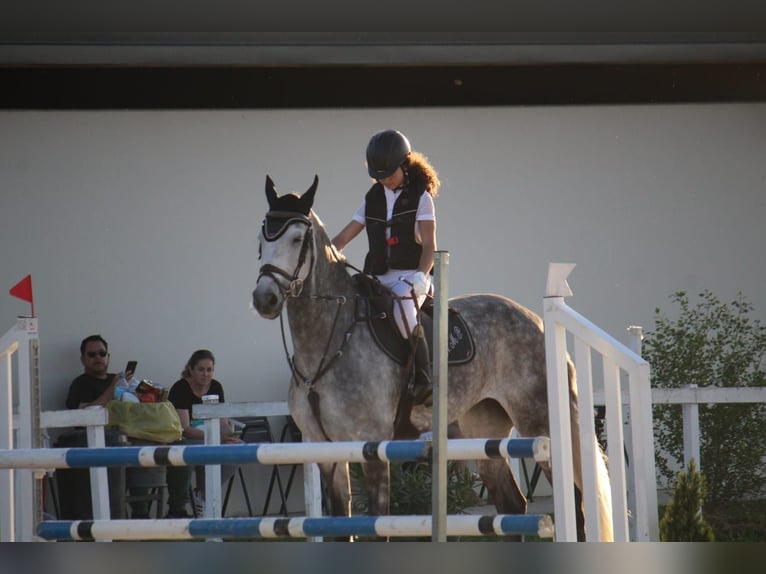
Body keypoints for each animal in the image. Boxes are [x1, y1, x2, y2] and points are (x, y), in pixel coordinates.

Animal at [255, 174, 616, 540]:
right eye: (261, 239)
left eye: (296, 239)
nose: (264, 299)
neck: (326, 345)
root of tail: (537, 319)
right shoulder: (327, 452)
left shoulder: (372, 447)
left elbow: (378, 524)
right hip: (483, 429)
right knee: (512, 504)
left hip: (538, 423)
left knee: (575, 501)